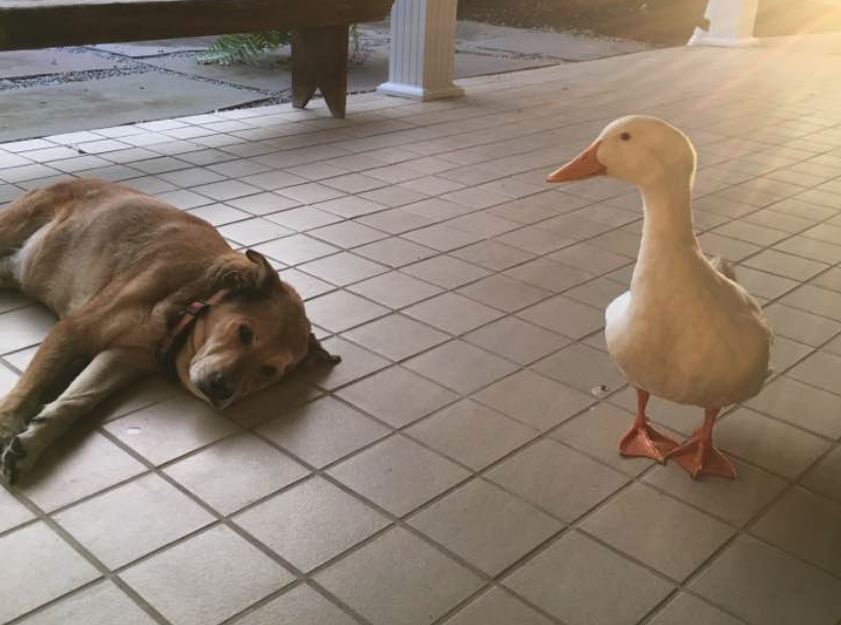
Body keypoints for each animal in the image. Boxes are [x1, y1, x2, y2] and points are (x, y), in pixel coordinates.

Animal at [0, 178, 338, 486]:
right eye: (244, 332)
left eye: (269, 371)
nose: (222, 389)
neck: (190, 301)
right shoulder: (73, 331)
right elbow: (27, 390)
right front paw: (6, 427)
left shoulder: (124, 357)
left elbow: (78, 400)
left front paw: (32, 442)